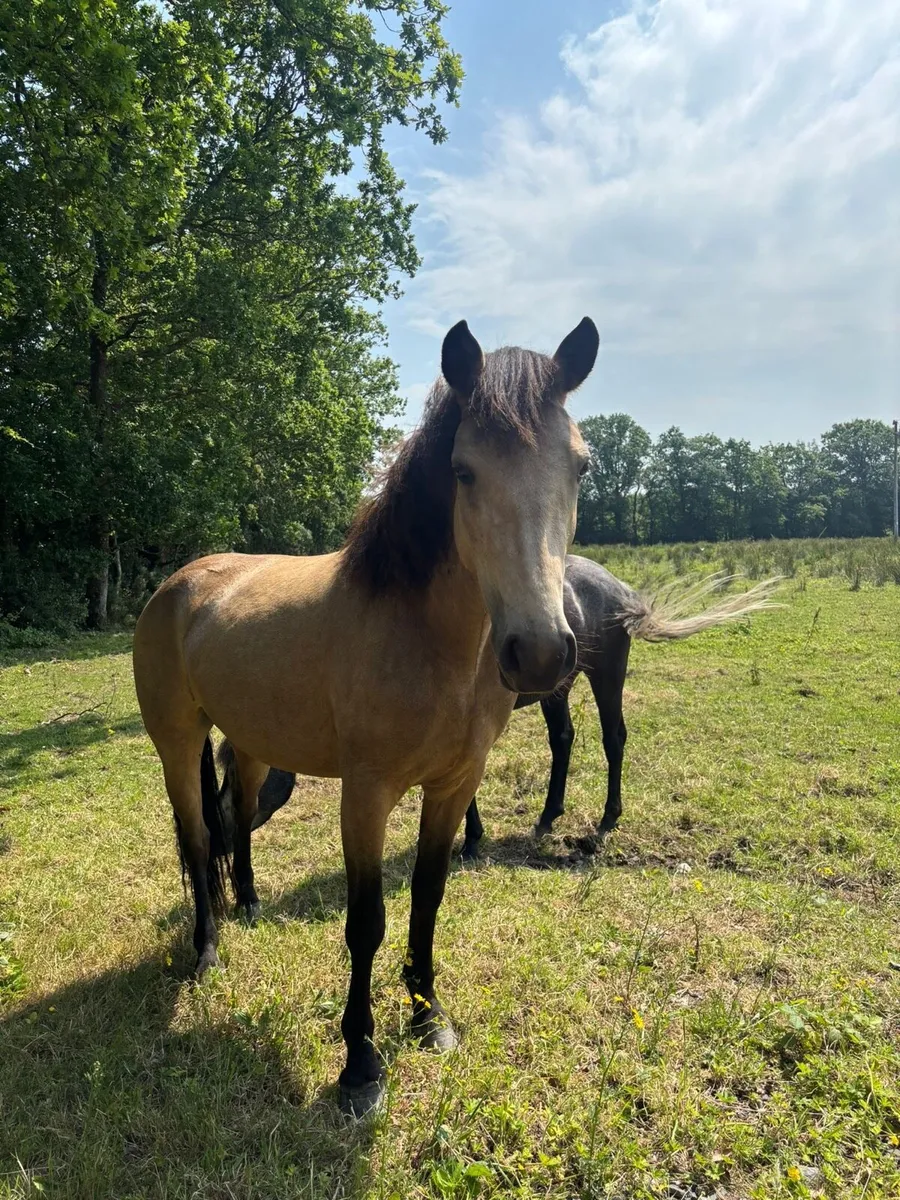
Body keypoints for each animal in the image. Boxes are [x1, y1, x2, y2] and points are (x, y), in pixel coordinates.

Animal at [132, 316, 600, 1117]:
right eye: (464, 472)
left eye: (579, 468)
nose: (540, 653)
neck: (425, 636)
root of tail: (180, 584)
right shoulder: (367, 794)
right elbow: (367, 922)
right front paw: (360, 1064)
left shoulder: (453, 787)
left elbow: (427, 900)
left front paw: (428, 1018)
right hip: (176, 743)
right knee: (197, 840)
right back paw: (207, 950)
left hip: (252, 746)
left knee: (235, 817)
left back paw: (249, 907)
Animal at [219, 560, 777, 858]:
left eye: (233, 771)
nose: (222, 838)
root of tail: (621, 590)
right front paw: (471, 838)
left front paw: (469, 841)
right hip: (558, 689)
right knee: (564, 739)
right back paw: (548, 817)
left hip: (606, 675)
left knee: (613, 737)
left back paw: (607, 818)